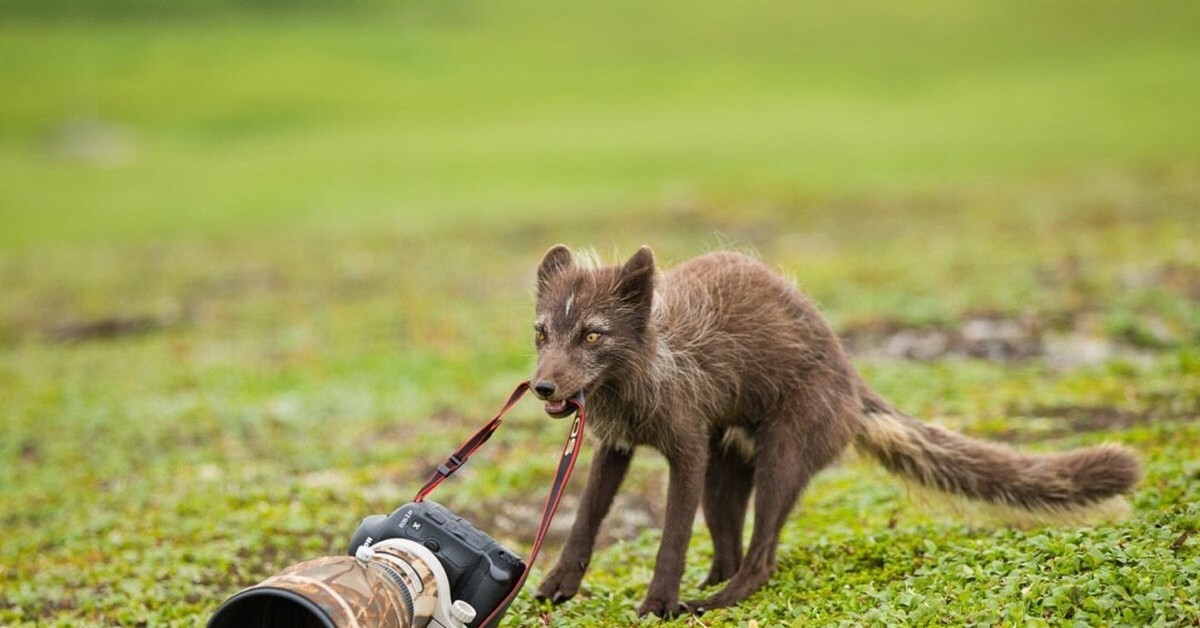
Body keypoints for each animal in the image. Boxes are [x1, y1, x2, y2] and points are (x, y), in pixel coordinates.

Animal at [530, 246, 1137, 619]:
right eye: (542, 333)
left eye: (592, 335)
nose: (541, 387)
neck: (643, 375)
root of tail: (851, 373)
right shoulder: (615, 445)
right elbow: (584, 520)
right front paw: (559, 585)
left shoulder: (689, 447)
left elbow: (671, 540)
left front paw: (657, 604)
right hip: (726, 468)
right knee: (733, 545)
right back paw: (709, 588)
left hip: (782, 453)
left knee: (762, 559)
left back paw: (711, 603)